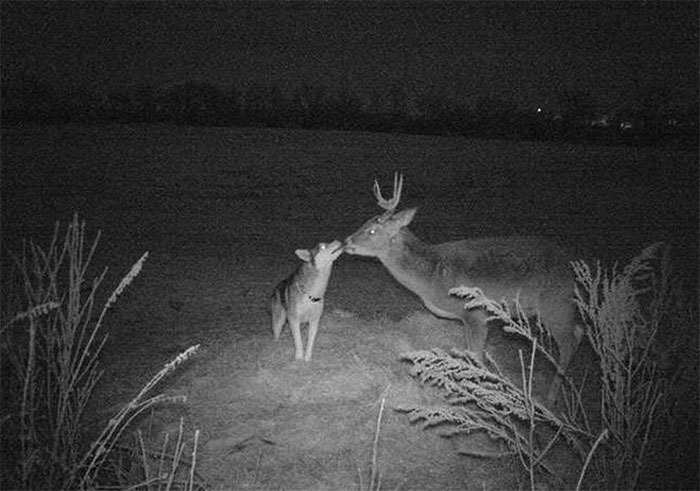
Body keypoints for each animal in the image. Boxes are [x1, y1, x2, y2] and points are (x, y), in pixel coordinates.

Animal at [343, 173, 583, 404]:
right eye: (364, 224)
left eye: (372, 230)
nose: (346, 242)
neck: (432, 276)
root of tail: (573, 267)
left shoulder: (476, 313)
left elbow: (477, 357)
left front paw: (482, 397)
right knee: (579, 330)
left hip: (555, 304)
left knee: (568, 343)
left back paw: (550, 397)